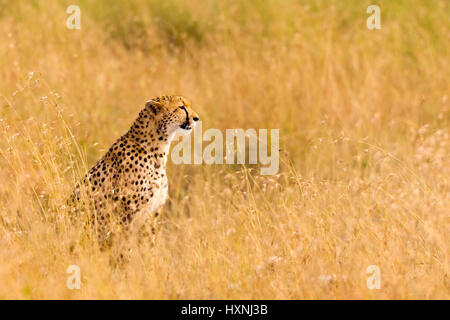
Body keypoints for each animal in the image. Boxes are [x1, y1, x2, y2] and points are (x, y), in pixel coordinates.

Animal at [71, 95, 199, 248]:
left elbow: (150, 242)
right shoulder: (127, 213)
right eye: (181, 107)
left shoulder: (152, 212)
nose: (196, 118)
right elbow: (126, 244)